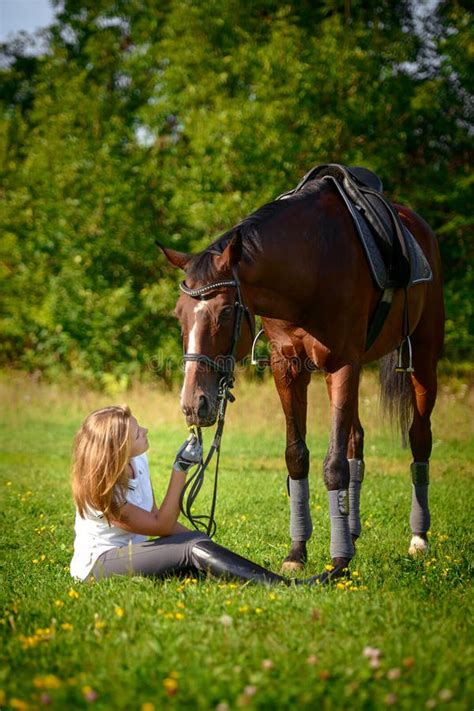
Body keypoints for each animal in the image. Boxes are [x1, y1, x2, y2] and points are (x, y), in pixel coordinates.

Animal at [158, 174, 444, 580]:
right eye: (178, 314)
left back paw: (418, 539)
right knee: (356, 439)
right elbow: (297, 457)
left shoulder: (343, 363)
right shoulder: (288, 367)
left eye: (227, 311)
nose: (193, 404)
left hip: (422, 355)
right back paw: (352, 531)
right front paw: (298, 552)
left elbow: (333, 466)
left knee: (419, 438)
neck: (310, 267)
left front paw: (338, 562)